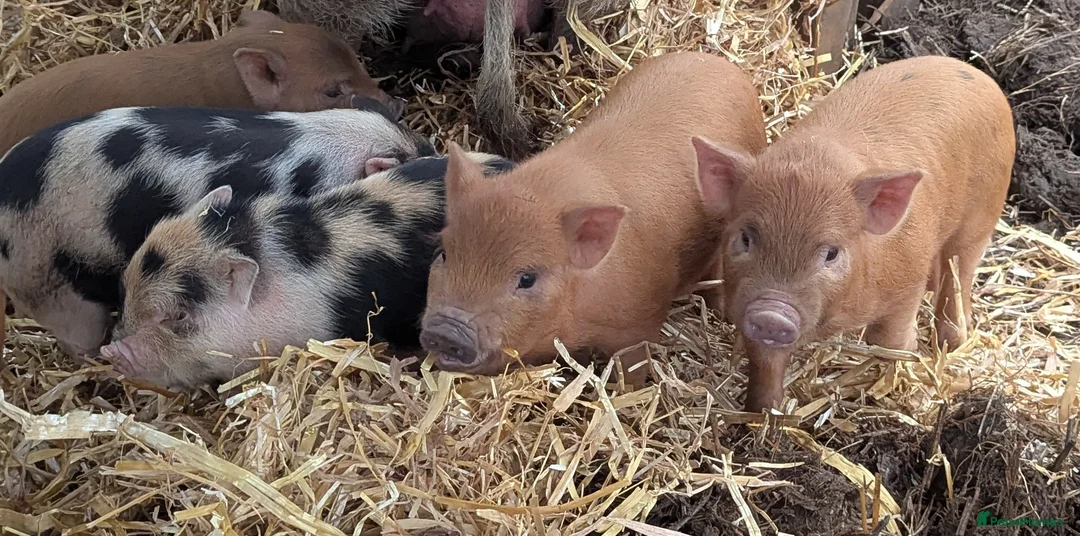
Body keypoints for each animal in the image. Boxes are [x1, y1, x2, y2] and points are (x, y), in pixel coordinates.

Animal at [419, 51, 768, 382]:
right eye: (443, 253)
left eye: (527, 278)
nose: (446, 330)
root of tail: (720, 63)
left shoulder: (638, 322)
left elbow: (632, 366)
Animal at [692, 55, 1015, 412]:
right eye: (746, 238)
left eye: (831, 252)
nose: (772, 314)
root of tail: (977, 75)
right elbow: (766, 363)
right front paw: (762, 413)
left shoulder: (907, 282)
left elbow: (889, 340)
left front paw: (902, 376)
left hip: (982, 211)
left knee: (960, 271)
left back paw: (953, 342)